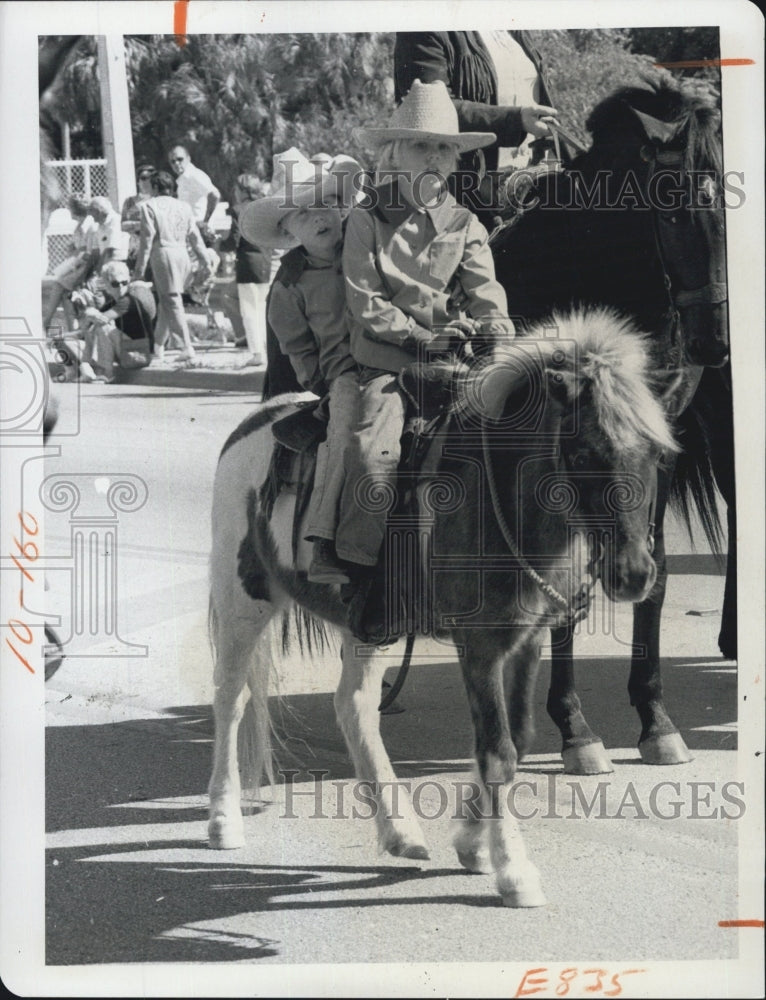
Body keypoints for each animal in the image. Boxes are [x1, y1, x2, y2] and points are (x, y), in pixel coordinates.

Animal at [208, 306, 680, 908]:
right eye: (582, 454)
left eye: (656, 455)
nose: (635, 573)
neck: (495, 496)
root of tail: (256, 422)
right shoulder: (477, 646)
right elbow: (496, 750)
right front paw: (513, 869)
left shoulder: (524, 641)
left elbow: (517, 737)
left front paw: (473, 844)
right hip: (243, 601)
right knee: (232, 699)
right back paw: (223, 819)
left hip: (369, 624)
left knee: (353, 705)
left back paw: (400, 831)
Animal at [488, 74, 736, 772]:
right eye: (673, 211)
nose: (714, 343)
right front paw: (576, 730)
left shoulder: (657, 450)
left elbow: (655, 577)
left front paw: (655, 721)